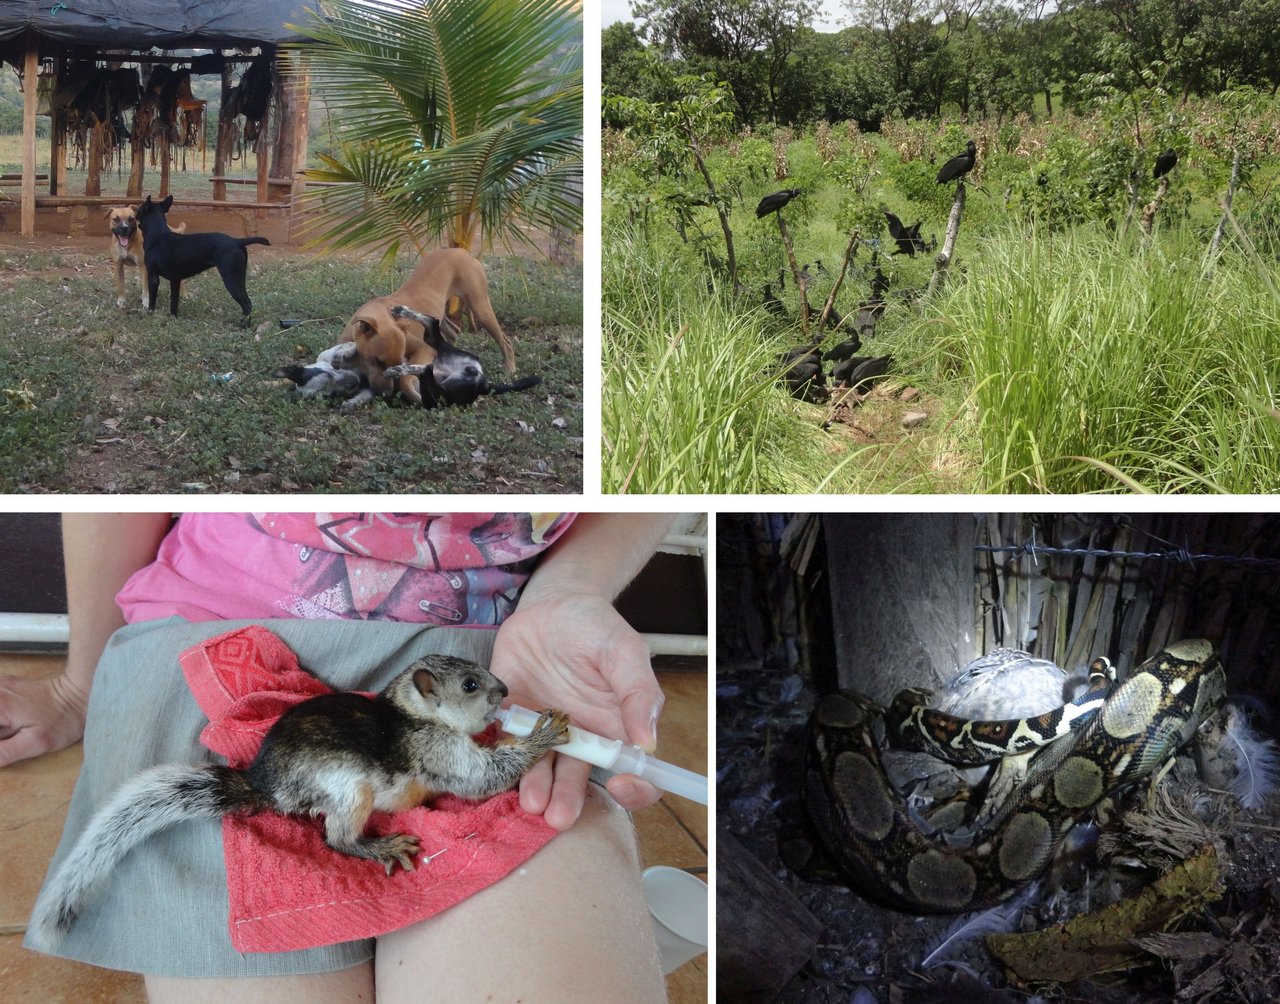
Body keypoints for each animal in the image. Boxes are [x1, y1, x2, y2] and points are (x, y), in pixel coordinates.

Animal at [31, 655, 570, 937]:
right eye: (471, 684)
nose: (506, 691)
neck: (415, 713)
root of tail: (265, 786)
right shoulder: (435, 749)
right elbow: (482, 777)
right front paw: (543, 734)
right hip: (348, 786)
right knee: (336, 839)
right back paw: (380, 846)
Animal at [136, 195, 268, 317]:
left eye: (140, 209)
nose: (135, 209)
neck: (158, 235)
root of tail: (236, 241)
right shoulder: (175, 280)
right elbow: (174, 303)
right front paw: (173, 317)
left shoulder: (153, 276)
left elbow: (152, 300)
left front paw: (150, 313)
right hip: (239, 278)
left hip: (231, 279)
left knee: (247, 304)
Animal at [345, 248, 519, 404]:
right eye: (377, 361)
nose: (385, 394)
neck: (379, 310)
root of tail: (462, 251)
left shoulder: (422, 349)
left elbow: (407, 381)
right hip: (443, 316)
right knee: (451, 331)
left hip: (480, 307)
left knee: (505, 341)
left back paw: (510, 368)